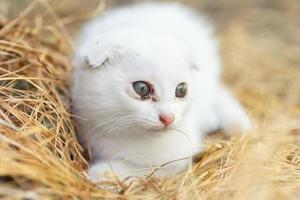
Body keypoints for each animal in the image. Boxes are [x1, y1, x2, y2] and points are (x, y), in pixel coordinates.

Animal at [71, 2, 250, 181]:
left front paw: (102, 172)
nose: (168, 118)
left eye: (181, 90)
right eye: (141, 88)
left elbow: (147, 170)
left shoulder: (177, 158)